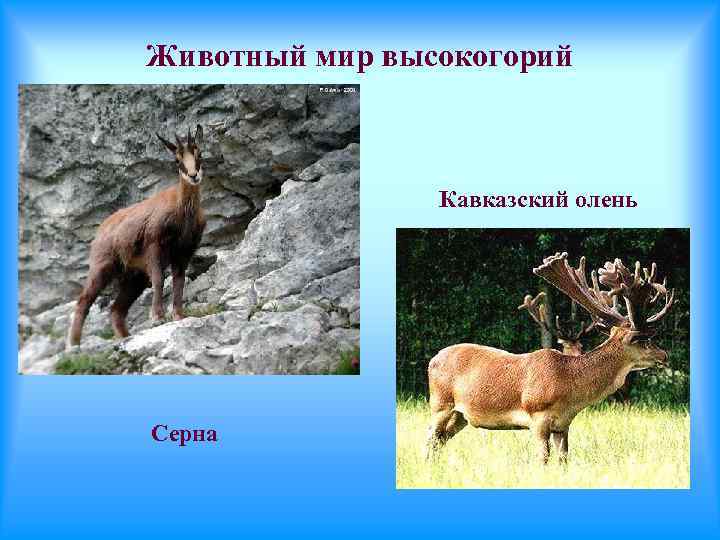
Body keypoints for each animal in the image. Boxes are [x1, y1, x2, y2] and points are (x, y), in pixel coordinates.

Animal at [67, 125, 207, 348]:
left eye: (199, 153)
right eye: (177, 160)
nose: (194, 176)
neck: (182, 210)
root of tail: (102, 229)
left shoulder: (183, 253)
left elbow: (179, 281)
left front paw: (178, 315)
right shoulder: (154, 246)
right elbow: (159, 279)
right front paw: (157, 317)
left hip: (134, 277)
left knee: (116, 309)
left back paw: (124, 337)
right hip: (102, 267)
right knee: (84, 300)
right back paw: (73, 344)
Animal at [426, 252, 674, 464]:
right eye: (642, 339)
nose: (664, 355)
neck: (570, 390)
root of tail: (433, 359)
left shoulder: (563, 425)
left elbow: (564, 459)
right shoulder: (537, 416)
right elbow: (543, 459)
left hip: (461, 416)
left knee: (440, 441)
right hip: (440, 403)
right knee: (430, 438)